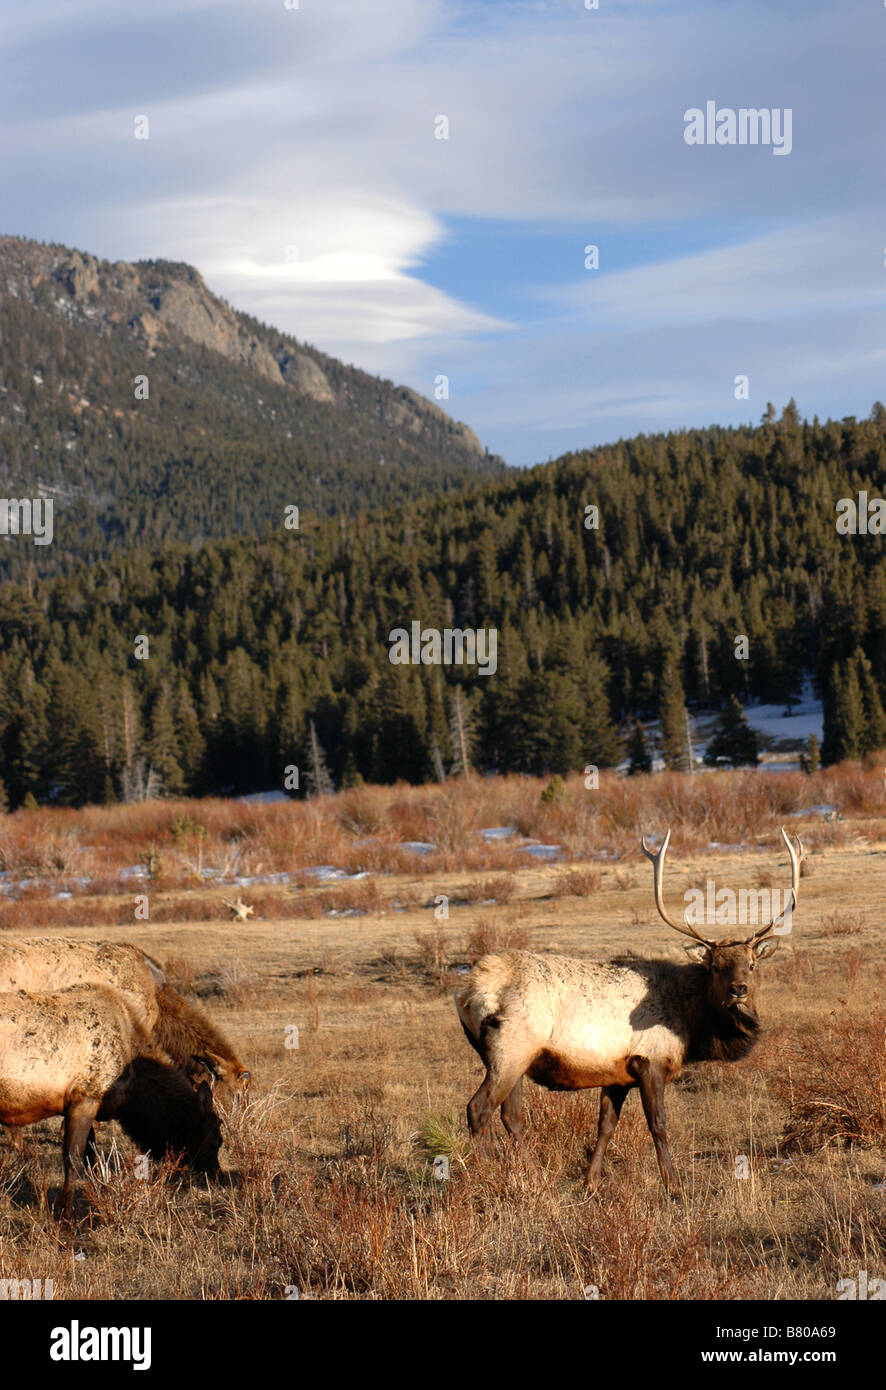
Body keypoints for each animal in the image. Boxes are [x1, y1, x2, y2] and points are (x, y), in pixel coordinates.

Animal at [455, 828, 802, 1193]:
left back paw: (533, 1176)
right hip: (510, 1048)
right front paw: (673, 1185)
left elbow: (606, 1126)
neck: (691, 1024)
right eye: (716, 967)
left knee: (512, 1116)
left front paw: (590, 1182)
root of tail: (467, 991)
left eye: (751, 965)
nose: (739, 990)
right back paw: (484, 1177)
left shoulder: (616, 1074)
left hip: (518, 1058)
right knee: (478, 1109)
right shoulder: (650, 1060)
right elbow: (659, 1125)